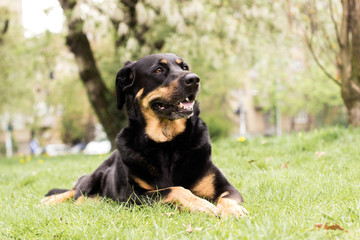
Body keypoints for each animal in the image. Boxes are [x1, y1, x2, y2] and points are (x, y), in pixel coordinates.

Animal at [39, 53, 248, 218]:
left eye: (185, 67)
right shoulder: (133, 195)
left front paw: (233, 210)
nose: (194, 79)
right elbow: (174, 190)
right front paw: (201, 204)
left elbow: (229, 198)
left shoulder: (224, 186)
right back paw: (52, 200)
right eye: (158, 69)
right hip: (97, 174)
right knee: (78, 190)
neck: (167, 144)